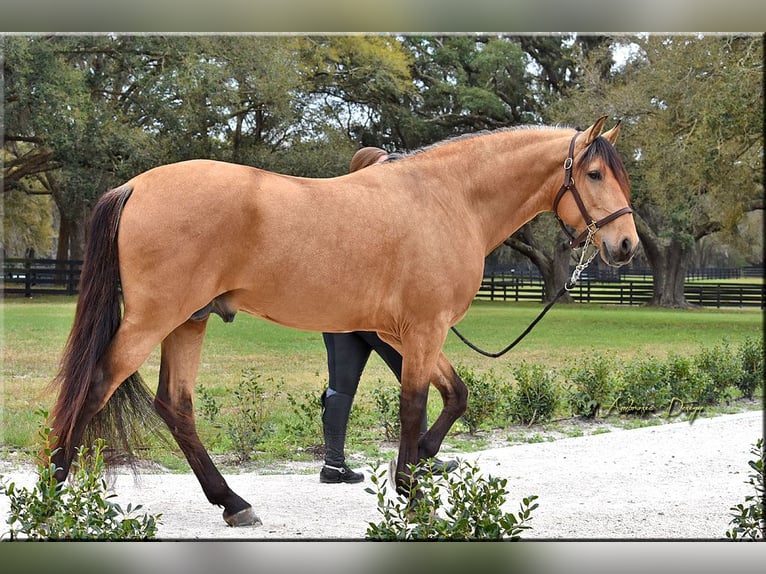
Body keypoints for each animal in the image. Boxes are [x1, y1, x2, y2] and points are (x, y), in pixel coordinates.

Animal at [49, 116, 638, 527]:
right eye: (593, 174)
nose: (626, 245)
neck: (447, 199)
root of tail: (135, 187)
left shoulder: (402, 333)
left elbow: (455, 395)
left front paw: (419, 466)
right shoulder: (423, 330)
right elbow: (415, 405)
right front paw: (412, 491)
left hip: (188, 323)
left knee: (175, 407)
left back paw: (233, 503)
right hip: (151, 322)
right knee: (94, 387)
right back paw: (53, 495)